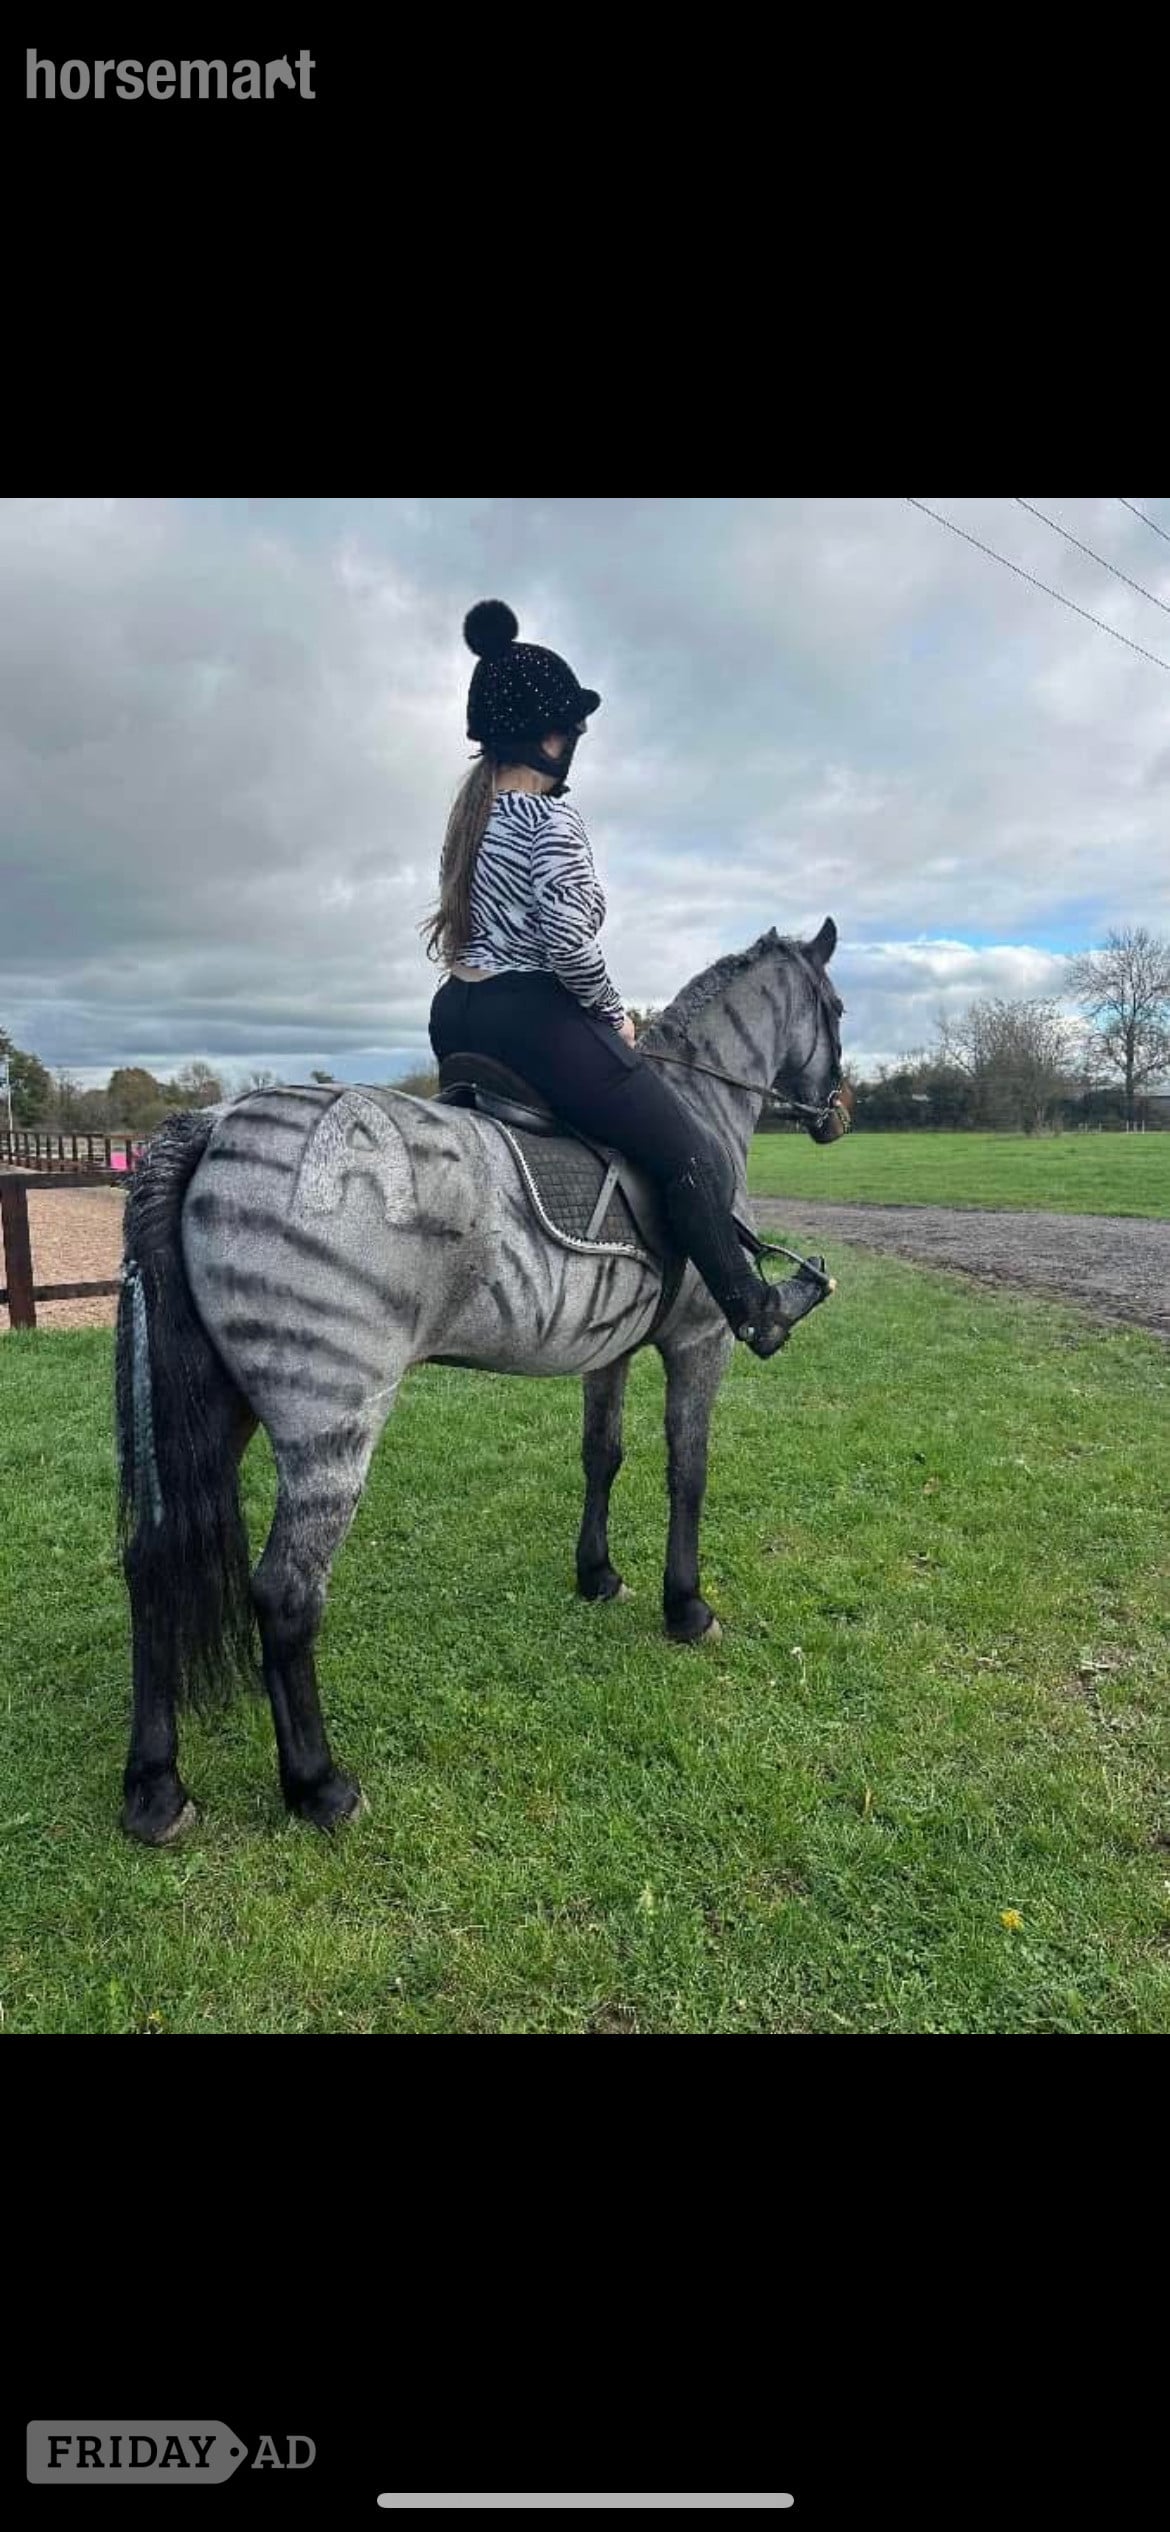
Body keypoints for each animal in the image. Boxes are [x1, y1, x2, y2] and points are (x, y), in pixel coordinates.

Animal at [116, 918, 850, 1845]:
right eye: (836, 1009)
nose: (838, 1114)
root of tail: (210, 1128)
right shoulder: (701, 1341)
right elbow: (688, 1471)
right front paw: (686, 1608)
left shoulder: (608, 1350)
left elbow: (603, 1455)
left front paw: (598, 1576)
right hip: (332, 1420)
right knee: (286, 1592)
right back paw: (319, 1785)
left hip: (217, 1407)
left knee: (152, 1564)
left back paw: (155, 1788)